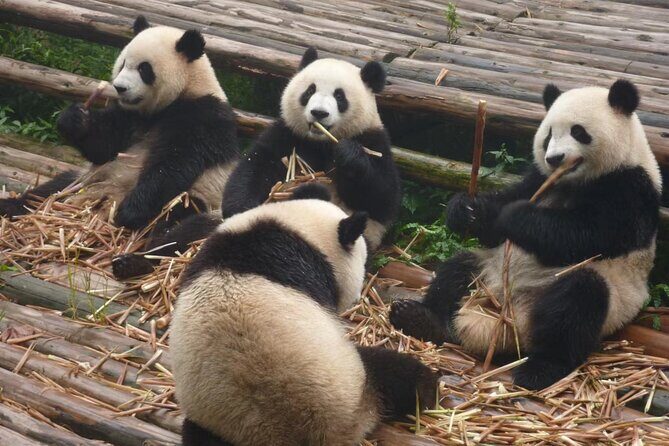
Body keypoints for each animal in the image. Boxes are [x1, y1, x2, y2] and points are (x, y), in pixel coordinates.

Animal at [0, 17, 238, 258]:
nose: (119, 88)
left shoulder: (202, 117)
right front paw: (74, 119)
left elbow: (173, 163)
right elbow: (104, 146)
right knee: (49, 190)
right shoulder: (129, 116)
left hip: (203, 197)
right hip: (86, 179)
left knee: (180, 220)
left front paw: (129, 211)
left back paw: (136, 257)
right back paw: (10, 206)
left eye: (144, 69)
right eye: (123, 63)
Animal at [222, 47, 400, 251]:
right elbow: (256, 166)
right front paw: (241, 209)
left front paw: (348, 154)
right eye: (310, 90)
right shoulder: (288, 135)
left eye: (339, 96)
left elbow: (382, 197)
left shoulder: (373, 139)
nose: (319, 113)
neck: (320, 142)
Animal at [390, 80, 662, 390]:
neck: (573, 181)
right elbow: (502, 214)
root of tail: (506, 320)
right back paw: (419, 318)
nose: (554, 158)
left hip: (608, 297)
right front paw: (467, 210)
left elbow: (587, 235)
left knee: (576, 303)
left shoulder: (630, 188)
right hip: (487, 272)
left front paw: (515, 216)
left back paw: (539, 370)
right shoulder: (538, 178)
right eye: (548, 135)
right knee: (456, 270)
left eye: (578, 132)